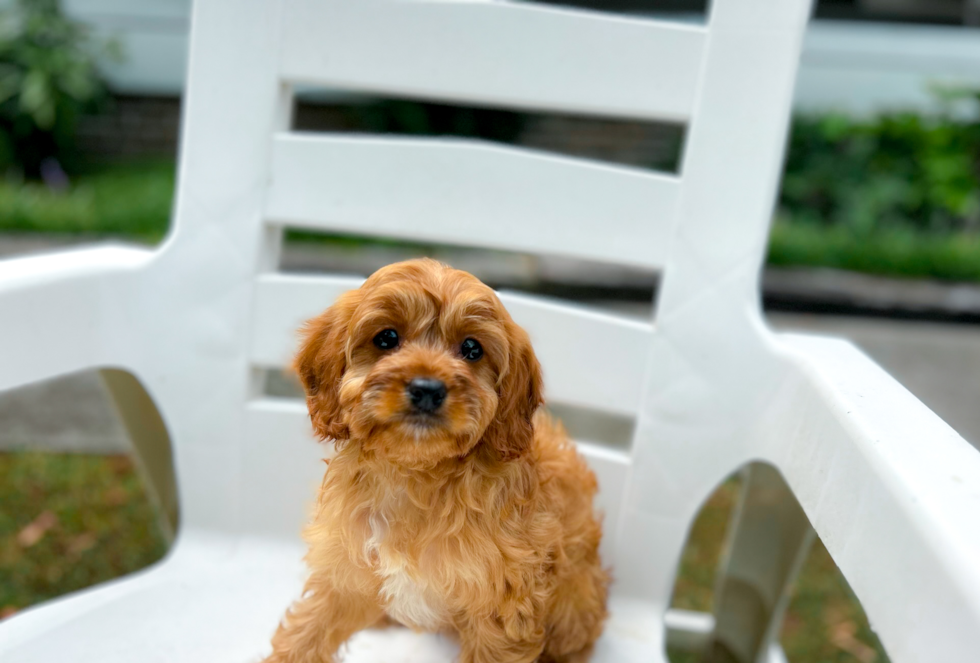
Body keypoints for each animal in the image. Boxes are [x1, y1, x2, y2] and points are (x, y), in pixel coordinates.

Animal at [264, 260, 608, 663]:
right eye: (386, 338)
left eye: (472, 348)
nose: (427, 389)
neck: (416, 473)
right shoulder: (345, 571)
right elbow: (307, 631)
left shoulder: (502, 603)